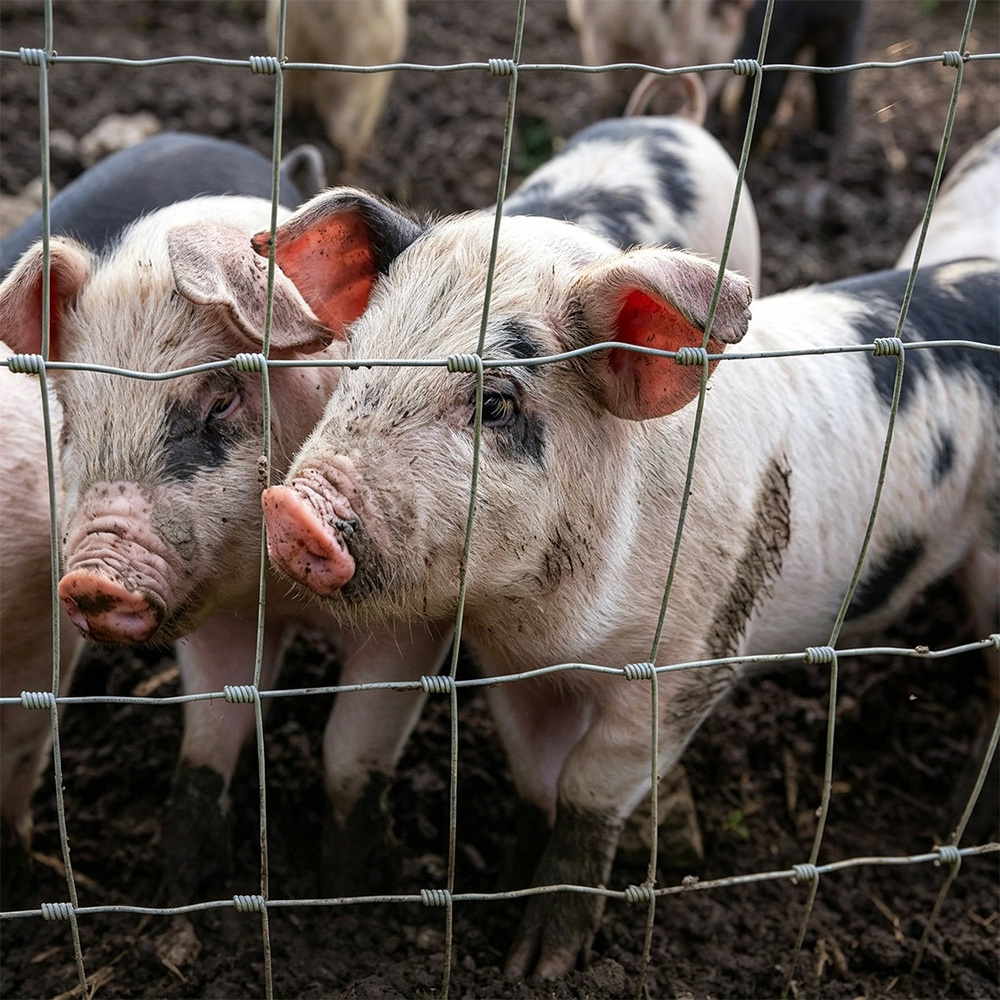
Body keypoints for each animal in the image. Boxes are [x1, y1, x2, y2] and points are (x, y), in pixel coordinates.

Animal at [0, 194, 451, 901]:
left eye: (219, 401)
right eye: (70, 417)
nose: (93, 578)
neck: (291, 601)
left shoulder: (416, 618)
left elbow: (352, 749)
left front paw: (353, 888)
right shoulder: (220, 616)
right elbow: (212, 734)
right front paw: (184, 892)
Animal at [257, 186, 998, 978]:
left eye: (494, 404)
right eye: (355, 364)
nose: (293, 508)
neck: (553, 627)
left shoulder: (688, 659)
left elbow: (588, 789)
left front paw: (541, 966)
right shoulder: (511, 667)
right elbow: (535, 776)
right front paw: (505, 899)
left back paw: (960, 813)